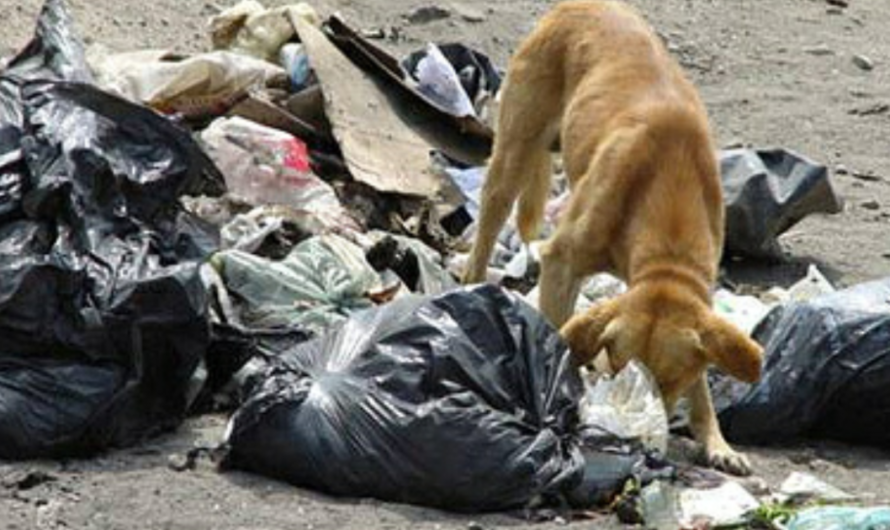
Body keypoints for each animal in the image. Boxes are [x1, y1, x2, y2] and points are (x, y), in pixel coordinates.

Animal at [458, 0, 764, 470]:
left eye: (670, 380)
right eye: (621, 367)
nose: (644, 447)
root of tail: (580, 6)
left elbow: (702, 383)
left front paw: (716, 442)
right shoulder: (562, 263)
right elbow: (557, 335)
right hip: (513, 153)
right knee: (487, 229)